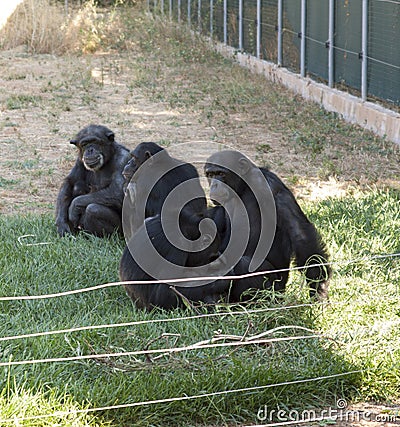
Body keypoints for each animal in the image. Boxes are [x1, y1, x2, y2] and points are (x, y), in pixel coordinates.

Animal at [205, 150, 330, 300]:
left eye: (221, 174)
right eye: (210, 175)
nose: (214, 184)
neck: (243, 187)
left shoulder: (267, 186)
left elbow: (299, 234)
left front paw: (318, 290)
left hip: (274, 290)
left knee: (244, 265)